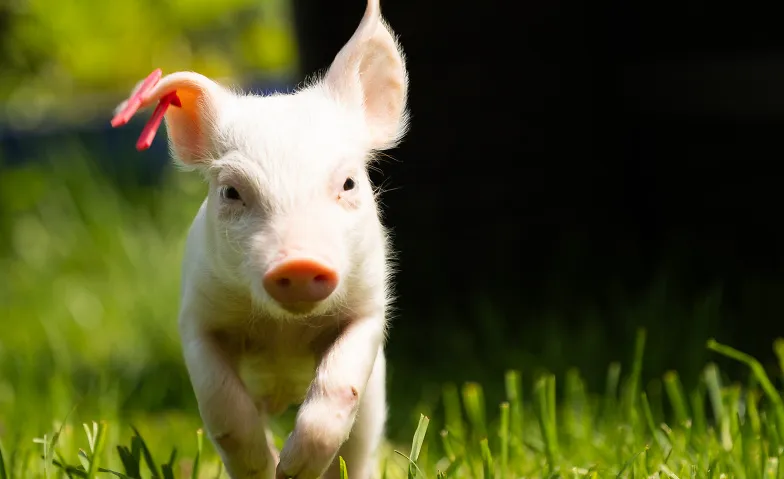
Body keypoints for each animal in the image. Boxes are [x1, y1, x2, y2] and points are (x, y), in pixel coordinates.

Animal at [110, 0, 409, 478]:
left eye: (348, 183)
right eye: (232, 191)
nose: (299, 262)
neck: (281, 332)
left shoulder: (368, 307)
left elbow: (339, 385)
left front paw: (290, 469)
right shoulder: (197, 314)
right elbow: (223, 407)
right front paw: (268, 467)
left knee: (360, 448)